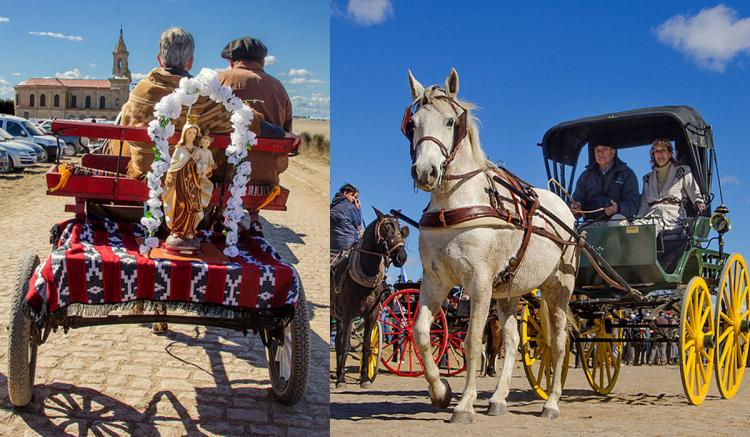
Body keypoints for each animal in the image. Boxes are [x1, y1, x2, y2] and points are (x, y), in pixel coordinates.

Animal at [330, 208, 408, 384]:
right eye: (386, 228)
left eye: (401, 229)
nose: (402, 256)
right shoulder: (349, 313)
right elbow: (346, 345)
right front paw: (342, 379)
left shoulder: (372, 314)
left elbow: (367, 345)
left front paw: (365, 377)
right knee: (339, 342)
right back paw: (339, 374)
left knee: (338, 341)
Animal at [408, 69, 580, 422]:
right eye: (413, 123)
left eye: (450, 122)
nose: (425, 172)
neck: (455, 205)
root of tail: (564, 206)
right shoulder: (435, 281)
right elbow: (420, 333)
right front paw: (441, 391)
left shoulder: (480, 283)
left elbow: (473, 342)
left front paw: (464, 404)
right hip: (509, 292)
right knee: (512, 342)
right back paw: (498, 399)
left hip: (558, 288)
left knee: (558, 344)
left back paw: (552, 403)